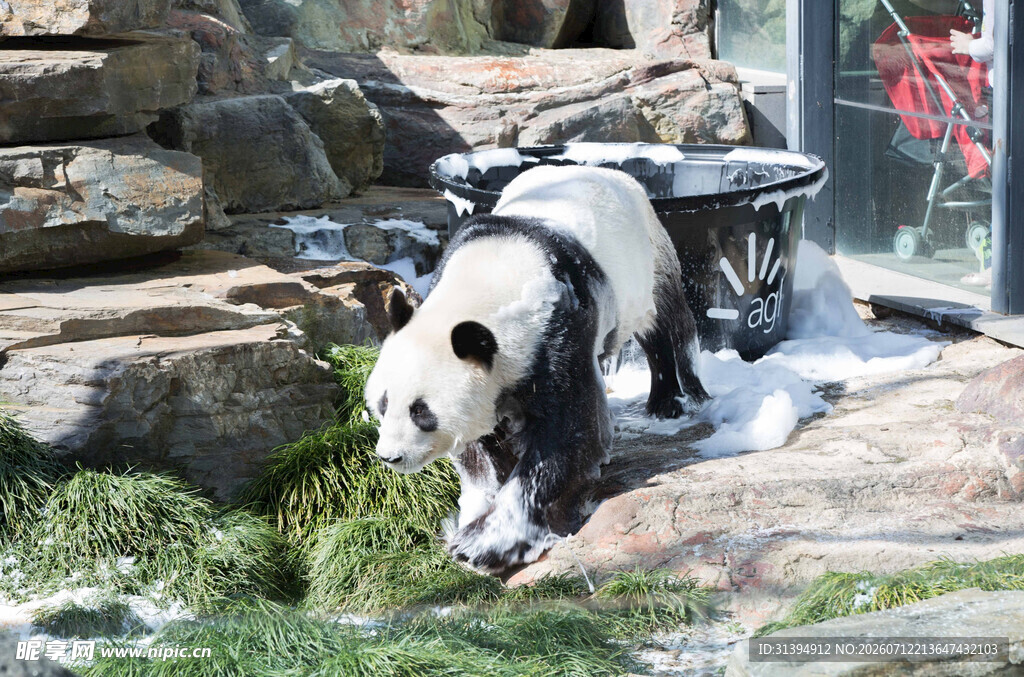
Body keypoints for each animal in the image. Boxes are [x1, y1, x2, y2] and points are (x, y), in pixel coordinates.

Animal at [364, 164, 709, 573]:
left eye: (422, 412)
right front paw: (475, 510)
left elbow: (565, 437)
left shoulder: (560, 326)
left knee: (665, 326)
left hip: (649, 257)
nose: (390, 457)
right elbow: (478, 450)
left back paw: (671, 401)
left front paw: (482, 545)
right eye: (383, 403)